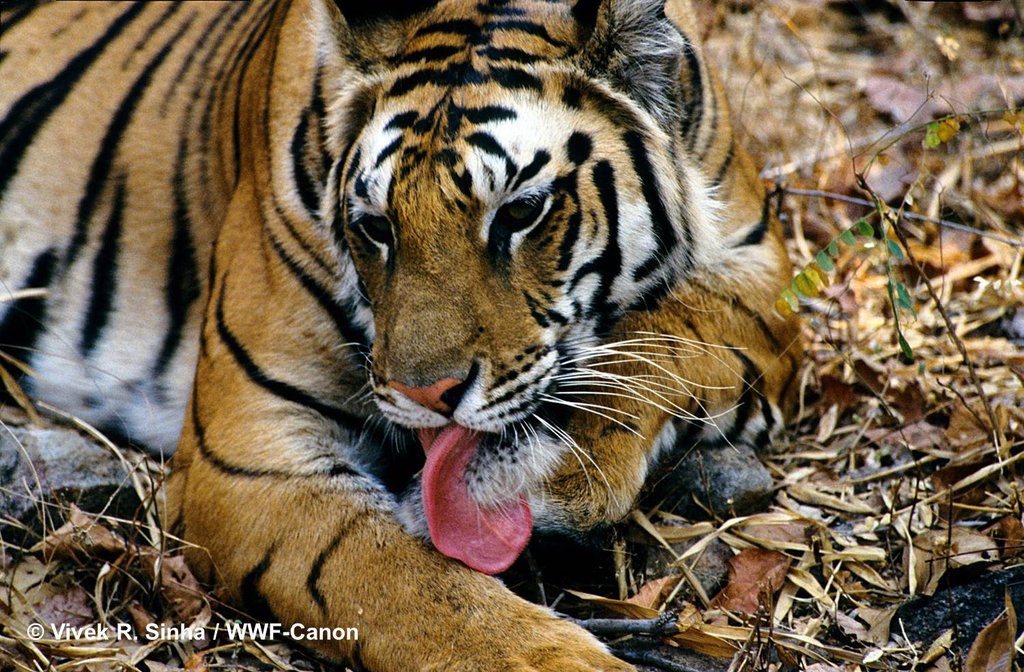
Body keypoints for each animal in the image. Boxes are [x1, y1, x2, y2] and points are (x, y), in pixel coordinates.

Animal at [0, 0, 802, 669]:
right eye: (376, 227)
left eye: (521, 212)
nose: (426, 394)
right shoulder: (247, 452)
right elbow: (403, 583)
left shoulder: (764, 276)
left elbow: (669, 332)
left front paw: (559, 460)